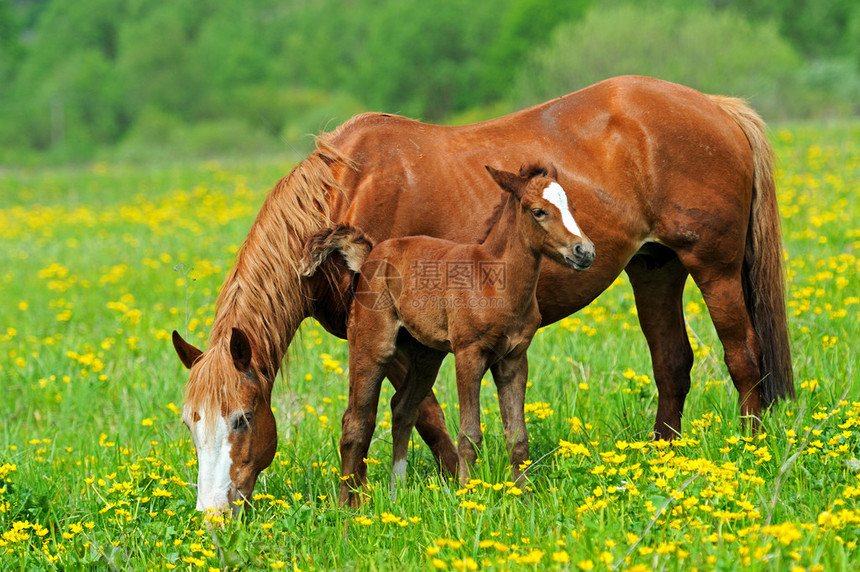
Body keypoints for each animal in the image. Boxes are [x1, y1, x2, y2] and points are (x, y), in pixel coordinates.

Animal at [300, 164, 592, 504]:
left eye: (571, 207)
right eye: (538, 211)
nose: (584, 251)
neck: (492, 280)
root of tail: (370, 257)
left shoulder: (515, 359)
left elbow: (518, 437)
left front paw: (525, 497)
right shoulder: (469, 353)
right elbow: (470, 433)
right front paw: (468, 494)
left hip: (427, 356)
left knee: (402, 408)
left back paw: (396, 493)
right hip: (372, 344)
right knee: (355, 421)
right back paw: (348, 504)